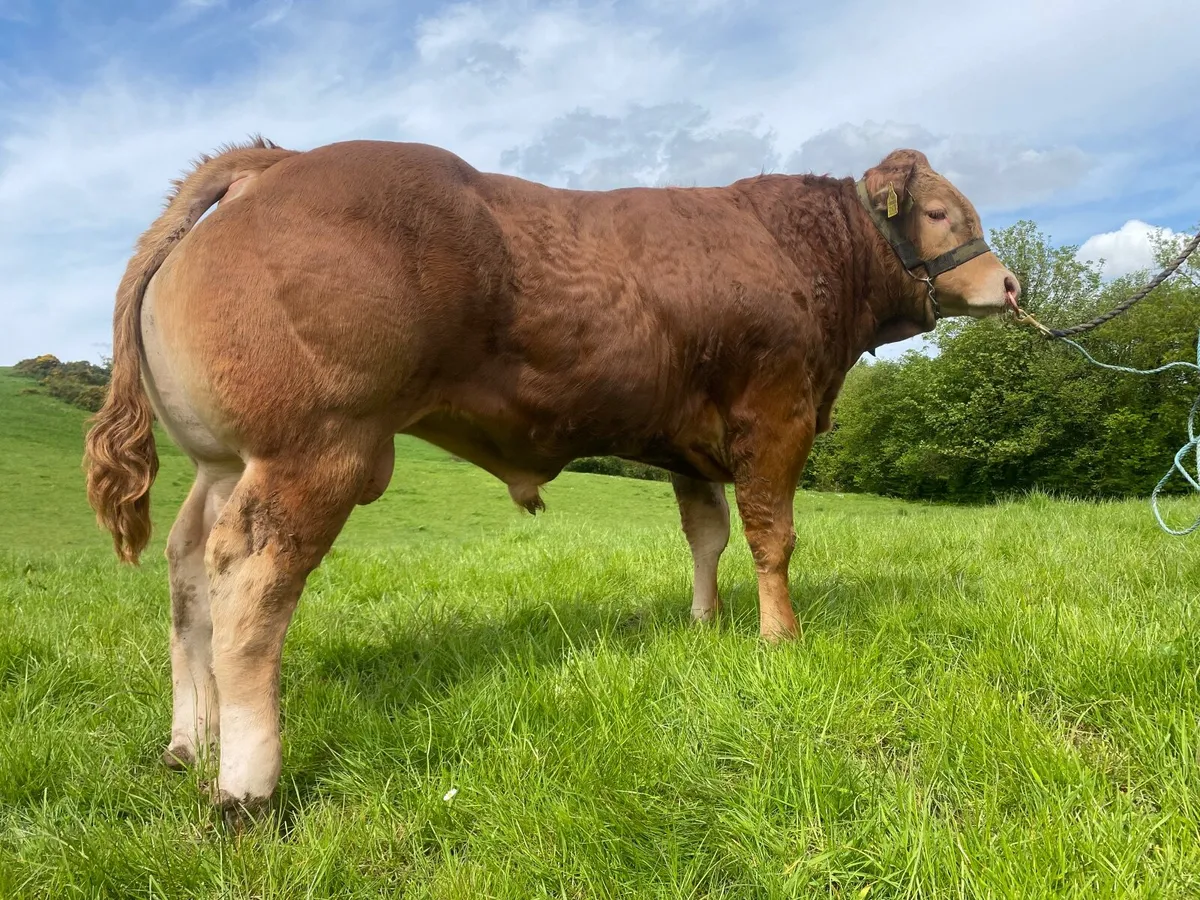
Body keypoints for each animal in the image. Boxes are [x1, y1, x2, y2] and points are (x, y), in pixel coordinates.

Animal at [83, 137, 1019, 824]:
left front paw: (705, 623)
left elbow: (707, 535)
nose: (1009, 283)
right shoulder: (776, 412)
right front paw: (777, 638)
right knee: (250, 585)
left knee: (187, 571)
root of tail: (277, 160)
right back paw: (247, 787)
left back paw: (188, 741)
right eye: (941, 212)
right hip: (315, 448)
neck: (805, 256)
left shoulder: (691, 448)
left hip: (222, 462)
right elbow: (770, 534)